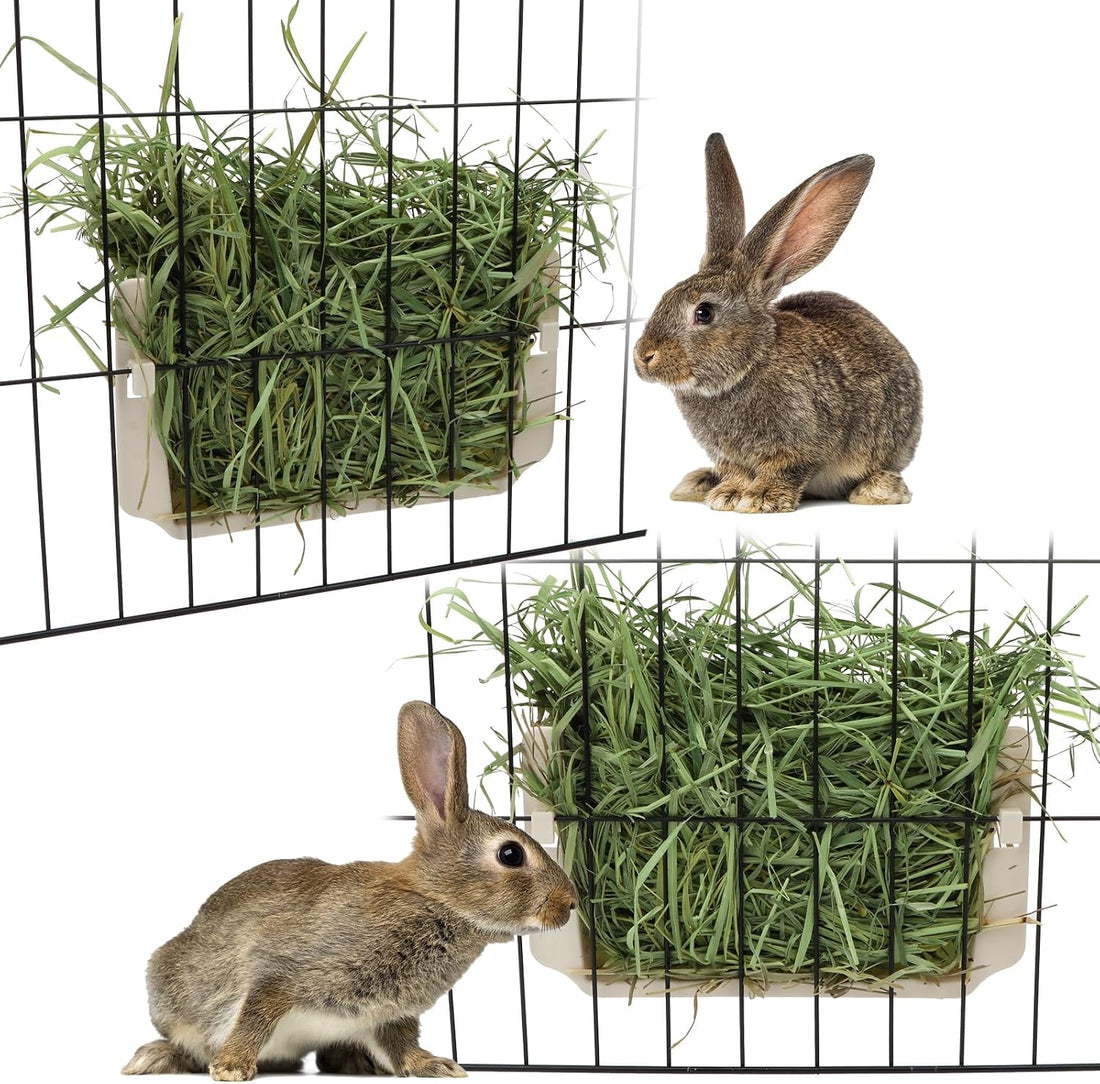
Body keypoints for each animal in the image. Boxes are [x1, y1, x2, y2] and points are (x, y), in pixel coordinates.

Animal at [121, 700, 576, 1081]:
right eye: (511, 854)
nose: (569, 904)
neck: (433, 900)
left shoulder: (389, 1016)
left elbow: (401, 1045)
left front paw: (435, 1066)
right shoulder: (278, 973)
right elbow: (255, 1015)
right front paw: (232, 1068)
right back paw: (150, 1059)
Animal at [633, 133, 922, 513]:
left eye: (704, 312)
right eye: (665, 295)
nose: (643, 357)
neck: (748, 368)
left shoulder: (801, 440)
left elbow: (785, 469)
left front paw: (760, 498)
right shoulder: (730, 456)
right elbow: (736, 471)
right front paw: (727, 494)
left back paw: (877, 491)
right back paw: (698, 483)